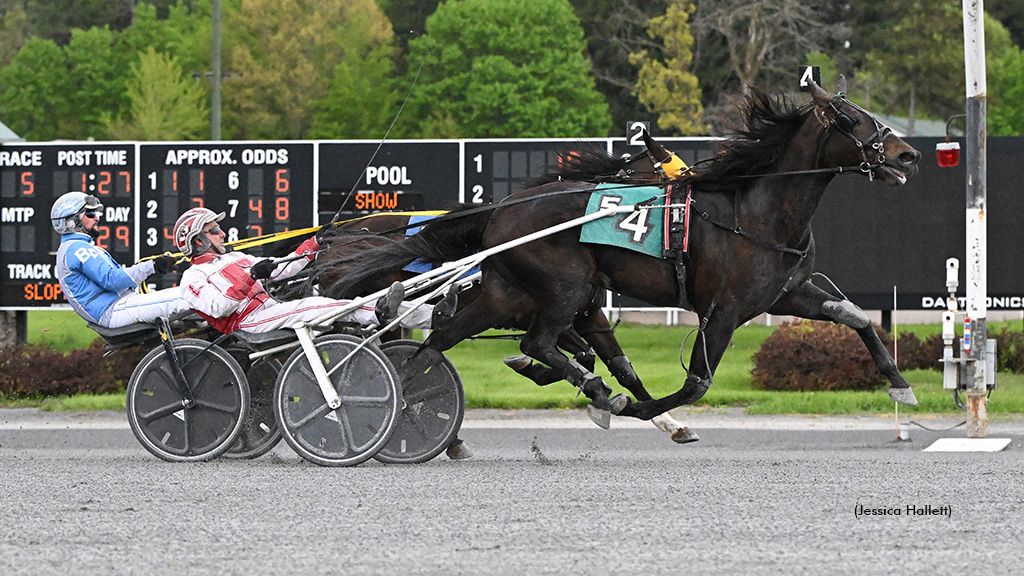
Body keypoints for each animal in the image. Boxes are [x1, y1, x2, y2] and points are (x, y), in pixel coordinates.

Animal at [325, 76, 921, 426]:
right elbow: (696, 384)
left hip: (506, 291)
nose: (909, 154)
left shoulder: (783, 294)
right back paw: (594, 389)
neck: (761, 211)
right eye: (850, 119)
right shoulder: (724, 309)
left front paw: (900, 385)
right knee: (536, 341)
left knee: (442, 339)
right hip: (563, 286)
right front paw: (643, 407)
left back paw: (401, 396)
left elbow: (853, 315)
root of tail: (502, 209)